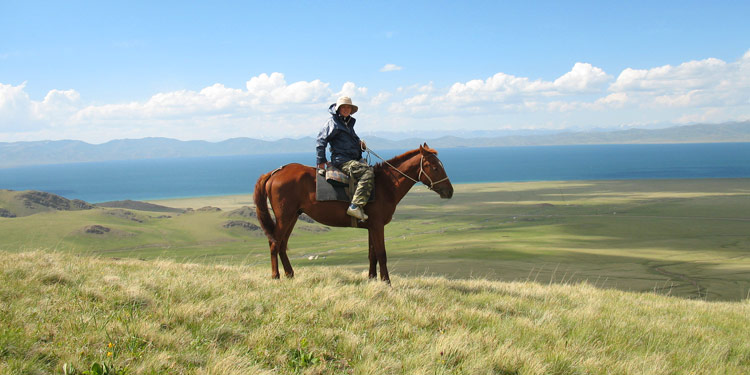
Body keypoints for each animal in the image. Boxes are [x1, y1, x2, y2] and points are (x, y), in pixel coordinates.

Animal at [254, 143, 452, 282]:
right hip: (285, 217)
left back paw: (290, 274)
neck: (386, 185)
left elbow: (372, 255)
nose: (449, 191)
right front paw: (387, 282)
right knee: (274, 243)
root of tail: (274, 173)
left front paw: (372, 279)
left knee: (281, 244)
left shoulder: (372, 226)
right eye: (435, 168)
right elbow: (382, 254)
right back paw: (276, 276)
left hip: (293, 216)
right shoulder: (378, 226)